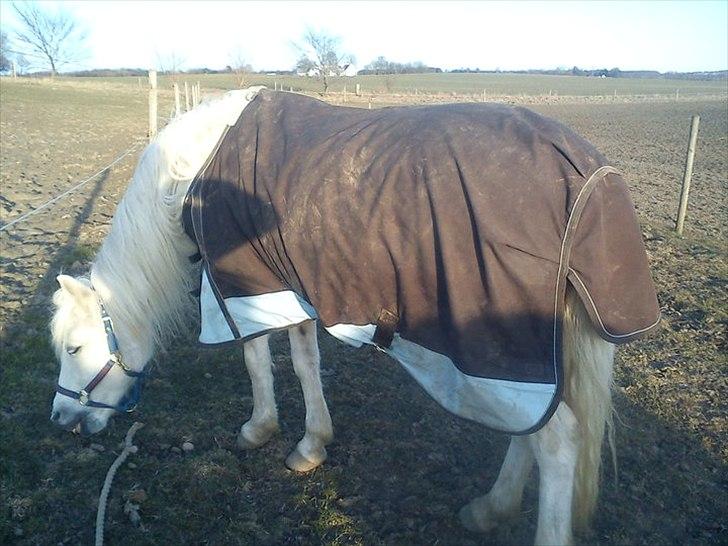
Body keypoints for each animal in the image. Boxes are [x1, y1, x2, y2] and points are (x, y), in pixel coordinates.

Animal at [51, 87, 616, 540]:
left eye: (75, 348)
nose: (62, 420)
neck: (190, 174)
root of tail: (590, 178)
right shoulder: (286, 285)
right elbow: (305, 364)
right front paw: (311, 445)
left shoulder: (240, 286)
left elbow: (256, 360)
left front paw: (259, 429)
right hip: (532, 360)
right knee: (532, 430)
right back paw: (490, 510)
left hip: (506, 355)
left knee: (558, 442)